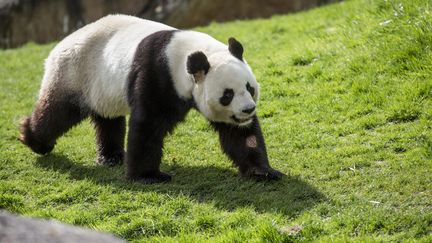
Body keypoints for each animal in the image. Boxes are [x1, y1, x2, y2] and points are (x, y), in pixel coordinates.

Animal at [18, 14, 286, 183]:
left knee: (108, 118)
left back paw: (112, 156)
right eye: (227, 95)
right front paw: (148, 176)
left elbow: (240, 136)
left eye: (249, 88)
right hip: (74, 73)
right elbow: (148, 125)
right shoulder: (157, 75)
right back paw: (34, 139)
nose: (248, 110)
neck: (184, 55)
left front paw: (263, 171)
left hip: (102, 86)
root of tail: (59, 43)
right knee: (57, 112)